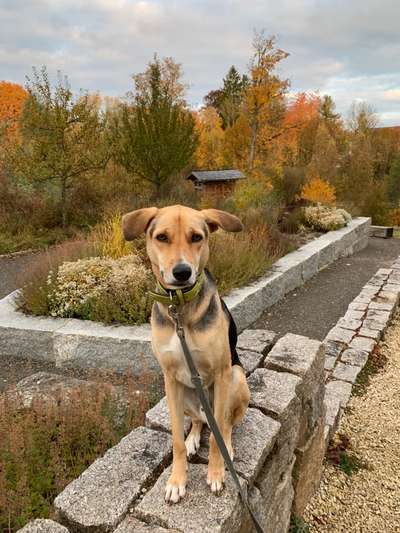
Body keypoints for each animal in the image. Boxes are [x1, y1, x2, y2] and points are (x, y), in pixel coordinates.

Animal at [122, 204, 250, 502]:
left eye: (196, 237)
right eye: (162, 237)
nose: (182, 272)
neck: (180, 308)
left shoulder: (222, 372)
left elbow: (217, 435)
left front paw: (216, 473)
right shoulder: (169, 378)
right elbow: (177, 441)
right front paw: (177, 480)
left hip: (236, 378)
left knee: (224, 423)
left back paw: (227, 447)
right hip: (186, 393)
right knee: (199, 421)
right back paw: (193, 437)